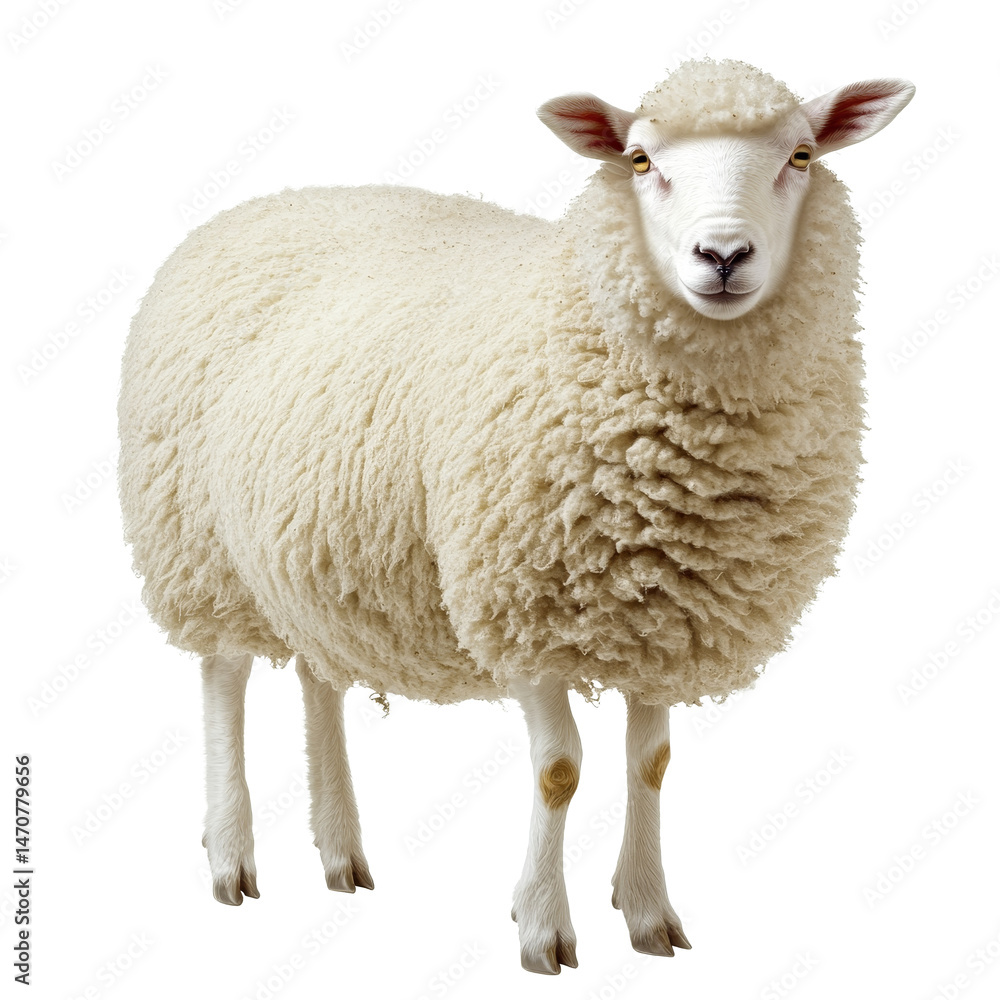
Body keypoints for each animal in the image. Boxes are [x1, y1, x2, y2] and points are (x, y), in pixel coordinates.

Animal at [117, 59, 914, 974]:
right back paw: (231, 855)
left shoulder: (665, 617)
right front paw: (542, 928)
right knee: (224, 679)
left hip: (313, 548)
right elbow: (559, 771)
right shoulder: (518, 603)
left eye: (802, 155)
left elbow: (652, 763)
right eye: (640, 160)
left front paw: (648, 913)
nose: (721, 255)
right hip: (195, 542)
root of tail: (257, 205)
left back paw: (340, 851)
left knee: (320, 676)